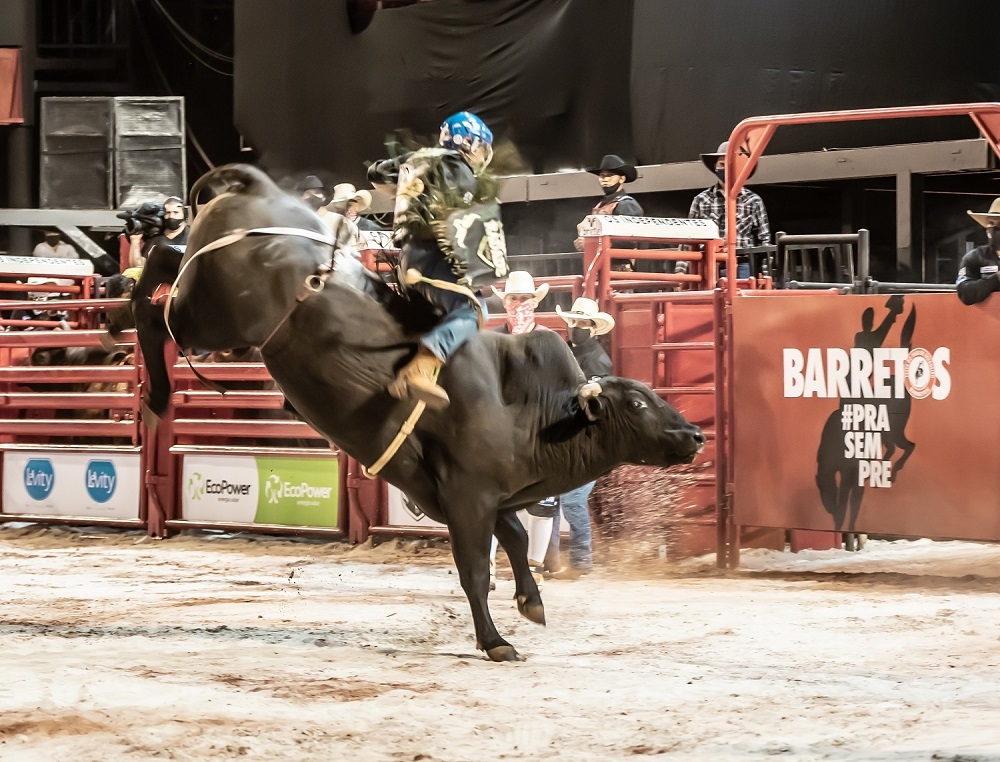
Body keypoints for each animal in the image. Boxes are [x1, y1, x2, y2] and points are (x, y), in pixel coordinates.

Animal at [119, 165, 704, 660]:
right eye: (637, 403)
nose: (695, 434)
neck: (531, 412)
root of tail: (259, 187)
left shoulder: (484, 494)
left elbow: (515, 538)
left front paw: (531, 603)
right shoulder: (468, 495)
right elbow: (475, 568)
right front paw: (495, 642)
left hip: (208, 303)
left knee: (165, 260)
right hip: (212, 314)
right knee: (158, 297)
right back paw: (155, 393)